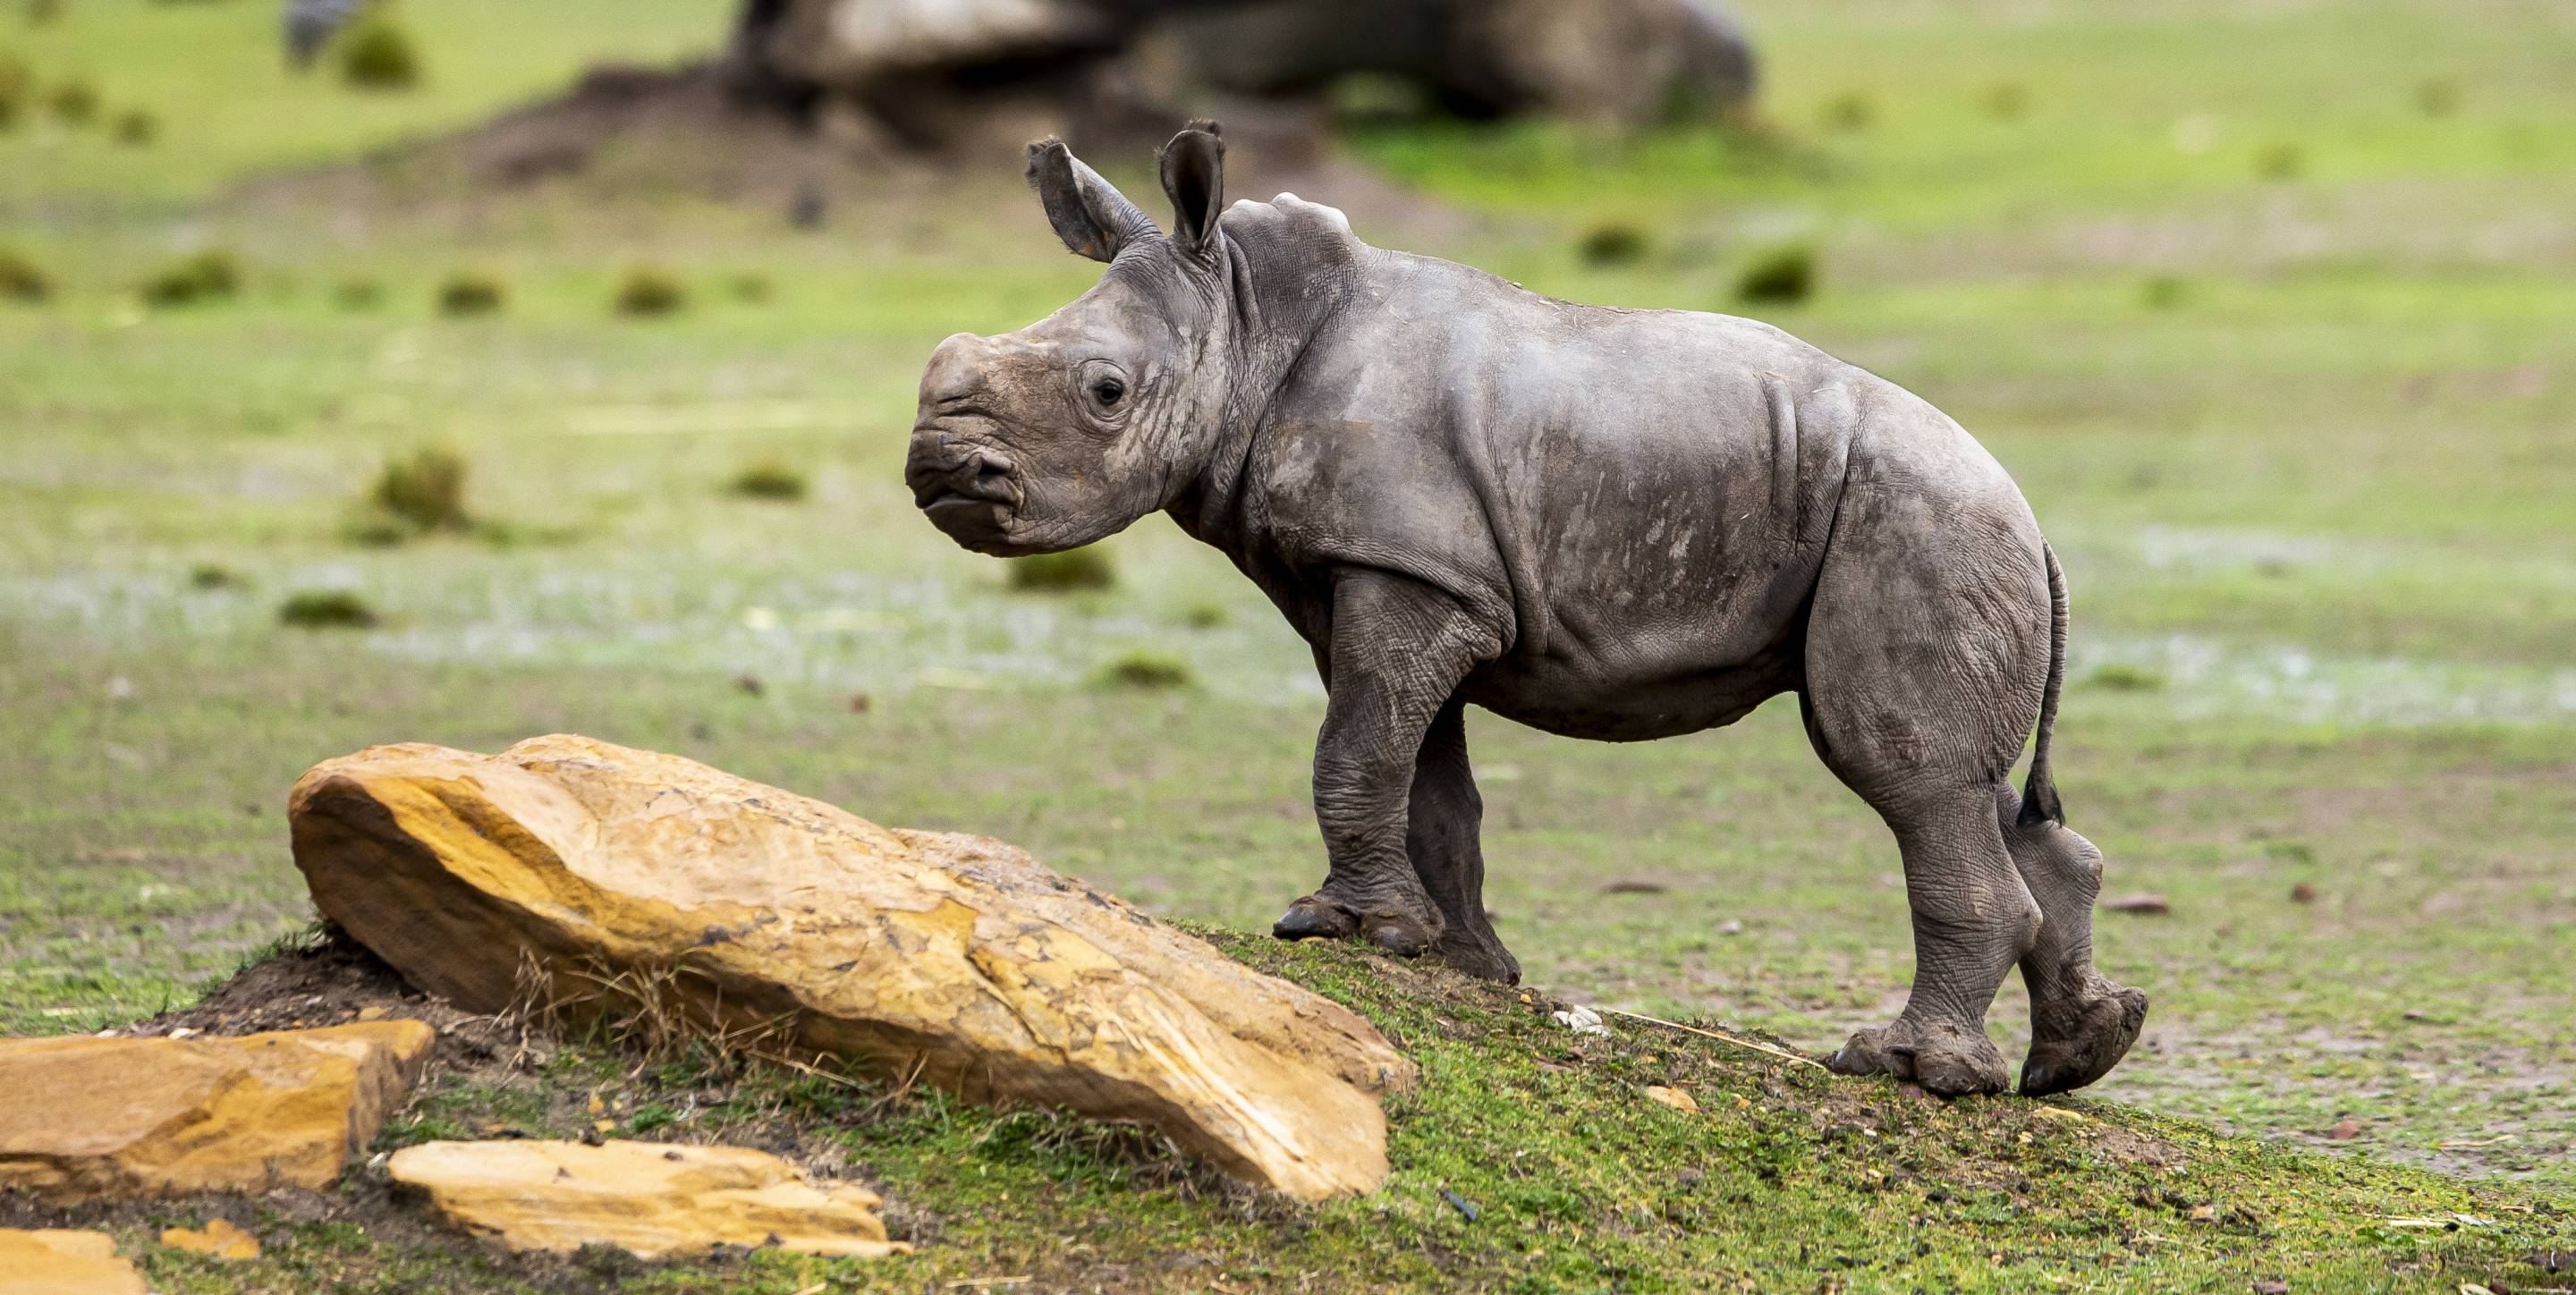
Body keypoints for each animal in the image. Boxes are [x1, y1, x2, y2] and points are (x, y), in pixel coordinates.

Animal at [906, 122, 2148, 1097]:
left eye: (1104, 393)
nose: (940, 471)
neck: (1248, 318)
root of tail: (2030, 514)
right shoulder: (1404, 574)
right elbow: (1421, 775)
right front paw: (1448, 956)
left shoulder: (1408, 575)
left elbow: (1355, 750)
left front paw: (1334, 928)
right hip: (1930, 524)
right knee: (1981, 791)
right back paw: (2073, 1060)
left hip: (1919, 523)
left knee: (1906, 772)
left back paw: (1907, 1070)